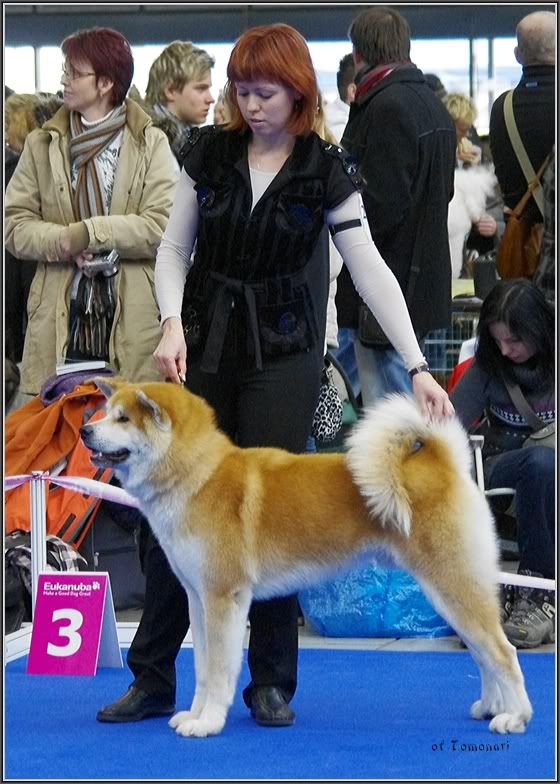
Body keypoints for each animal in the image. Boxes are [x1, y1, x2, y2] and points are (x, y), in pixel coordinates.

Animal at [80, 378, 532, 738]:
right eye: (106, 412)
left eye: (122, 419)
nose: (85, 430)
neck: (199, 476)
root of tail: (443, 463)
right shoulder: (198, 599)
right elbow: (204, 669)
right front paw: (193, 715)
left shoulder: (224, 599)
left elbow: (220, 670)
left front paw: (208, 723)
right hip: (450, 591)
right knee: (482, 653)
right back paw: (490, 707)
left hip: (452, 583)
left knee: (501, 652)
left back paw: (515, 717)